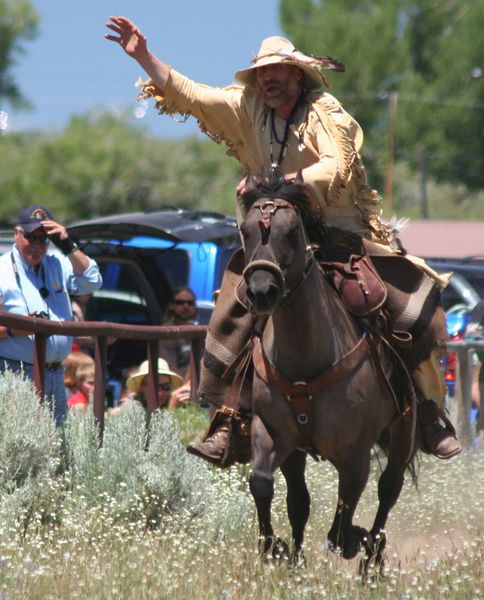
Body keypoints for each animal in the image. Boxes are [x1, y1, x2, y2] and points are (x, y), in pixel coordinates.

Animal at [238, 175, 416, 572]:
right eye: (245, 231)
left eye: (292, 232)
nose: (261, 291)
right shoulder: (274, 433)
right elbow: (265, 485)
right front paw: (274, 548)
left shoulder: (355, 454)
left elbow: (343, 514)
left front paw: (354, 541)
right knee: (301, 501)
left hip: (403, 430)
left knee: (389, 487)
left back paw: (371, 558)